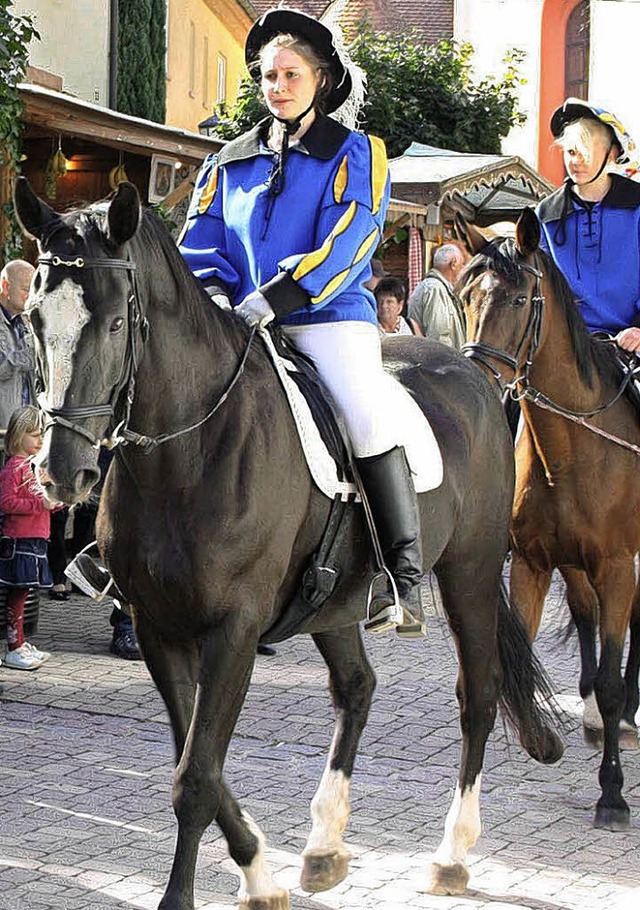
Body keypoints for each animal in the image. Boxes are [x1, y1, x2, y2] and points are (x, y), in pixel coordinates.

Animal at [13, 180, 560, 910]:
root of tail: (474, 373)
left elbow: (195, 779)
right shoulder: (159, 629)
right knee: (357, 687)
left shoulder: (234, 630)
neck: (190, 451)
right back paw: (325, 847)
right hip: (335, 603)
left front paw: (190, 894)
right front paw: (258, 873)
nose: (61, 471)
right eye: (34, 319)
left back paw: (450, 855)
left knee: (478, 694)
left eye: (114, 324)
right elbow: (198, 763)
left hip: (467, 574)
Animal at [458, 208, 636, 832]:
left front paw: (613, 793)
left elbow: (612, 679)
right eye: (465, 295)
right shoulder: (533, 565)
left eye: (518, 299)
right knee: (584, 615)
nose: (477, 378)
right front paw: (540, 738)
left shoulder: (618, 566)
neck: (573, 449)